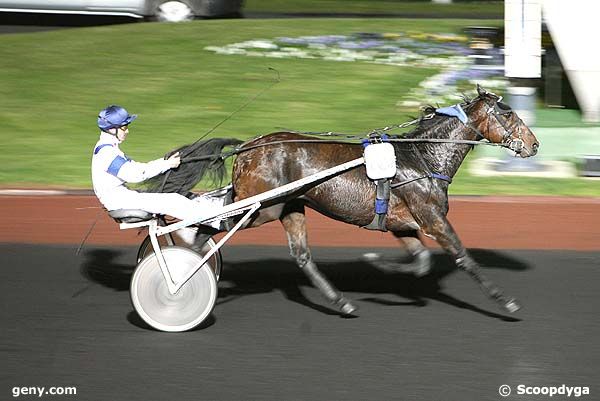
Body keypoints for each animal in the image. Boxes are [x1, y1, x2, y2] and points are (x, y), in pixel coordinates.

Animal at [154, 85, 540, 316]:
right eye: (507, 113)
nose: (534, 144)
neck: (423, 158)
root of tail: (250, 145)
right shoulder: (433, 219)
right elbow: (463, 257)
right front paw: (505, 300)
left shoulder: (403, 224)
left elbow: (420, 262)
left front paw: (379, 266)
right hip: (262, 206)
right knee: (210, 226)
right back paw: (182, 260)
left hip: (289, 206)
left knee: (300, 255)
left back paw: (341, 301)